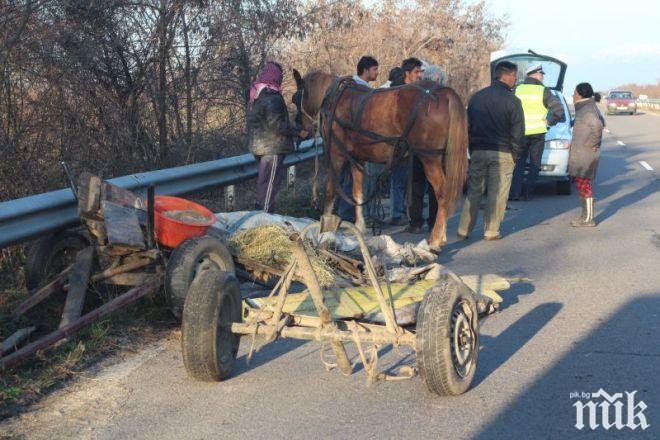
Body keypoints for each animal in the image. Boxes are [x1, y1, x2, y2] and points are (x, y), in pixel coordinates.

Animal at [294, 70, 470, 253]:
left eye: (296, 97)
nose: (301, 127)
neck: (336, 99)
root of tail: (443, 92)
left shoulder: (337, 156)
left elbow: (330, 191)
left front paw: (325, 230)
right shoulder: (357, 159)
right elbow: (358, 193)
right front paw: (360, 227)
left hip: (429, 158)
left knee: (442, 193)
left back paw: (435, 240)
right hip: (441, 157)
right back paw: (440, 236)